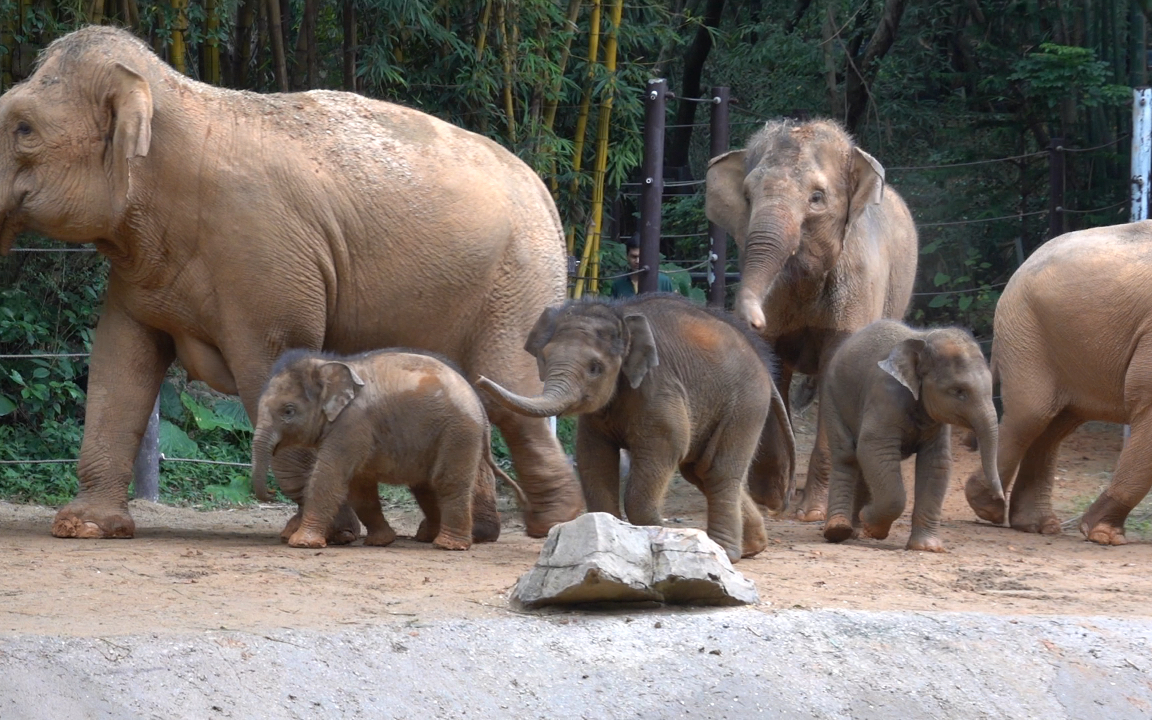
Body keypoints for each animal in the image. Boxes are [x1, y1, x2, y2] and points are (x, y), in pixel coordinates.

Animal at [252, 347, 509, 550]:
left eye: (288, 411)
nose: (271, 492)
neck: (326, 364)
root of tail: (478, 402)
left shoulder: (352, 424)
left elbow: (329, 477)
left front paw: (302, 543)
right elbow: (359, 488)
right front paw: (380, 541)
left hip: (459, 432)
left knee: (447, 482)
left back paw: (449, 545)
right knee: (425, 487)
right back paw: (428, 537)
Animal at [474, 292, 792, 562]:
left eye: (595, 368)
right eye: (544, 357)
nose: (478, 379)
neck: (622, 318)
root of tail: (764, 363)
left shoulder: (658, 386)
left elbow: (666, 446)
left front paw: (659, 536)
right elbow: (594, 457)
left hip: (746, 404)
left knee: (718, 471)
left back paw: (725, 552)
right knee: (700, 470)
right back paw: (752, 548)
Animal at [700, 119, 916, 523]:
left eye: (817, 198)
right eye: (748, 197)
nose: (753, 318)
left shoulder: (859, 279)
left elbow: (838, 367)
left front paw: (811, 514)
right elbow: (774, 362)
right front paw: (770, 503)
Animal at [820, 320, 999, 550]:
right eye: (958, 391)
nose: (999, 497)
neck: (923, 340)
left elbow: (936, 462)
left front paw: (928, 547)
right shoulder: (885, 394)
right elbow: (874, 448)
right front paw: (873, 528)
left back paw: (855, 531)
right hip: (831, 398)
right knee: (847, 455)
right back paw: (839, 531)